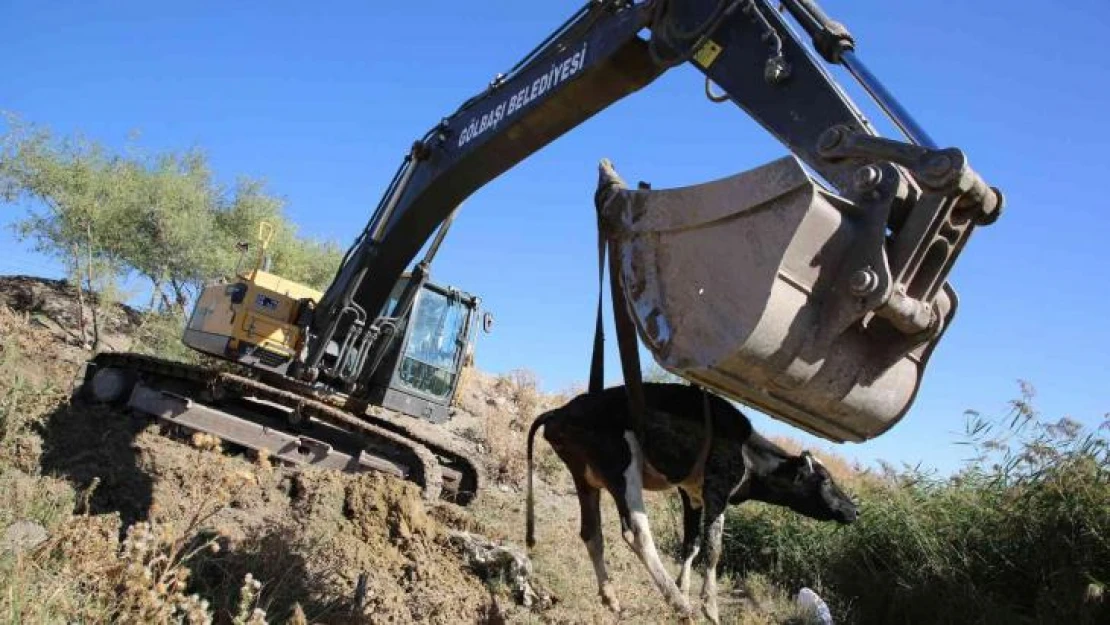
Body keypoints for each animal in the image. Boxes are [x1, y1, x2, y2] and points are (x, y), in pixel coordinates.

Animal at [523, 384, 852, 621]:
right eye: (824, 479)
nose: (853, 509)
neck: (749, 455)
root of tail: (559, 411)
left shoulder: (691, 494)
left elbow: (691, 543)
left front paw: (686, 585)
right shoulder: (717, 488)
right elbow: (714, 548)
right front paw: (709, 607)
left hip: (585, 477)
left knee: (592, 532)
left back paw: (613, 599)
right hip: (621, 464)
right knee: (636, 533)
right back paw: (679, 604)